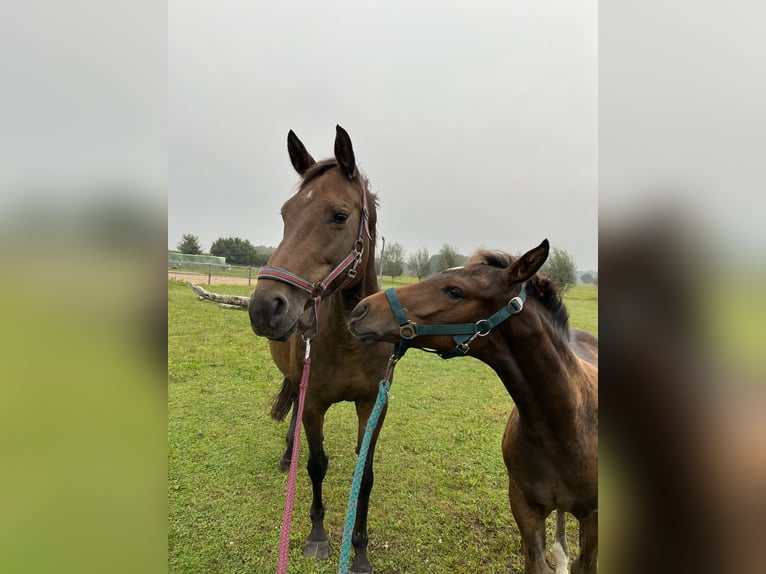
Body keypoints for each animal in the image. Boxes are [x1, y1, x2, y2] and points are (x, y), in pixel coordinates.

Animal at [250, 127, 396, 574]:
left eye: (339, 215)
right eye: (285, 214)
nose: (265, 307)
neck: (351, 338)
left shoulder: (373, 404)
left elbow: (364, 476)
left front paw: (360, 550)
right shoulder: (314, 401)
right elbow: (316, 465)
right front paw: (317, 536)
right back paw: (287, 456)